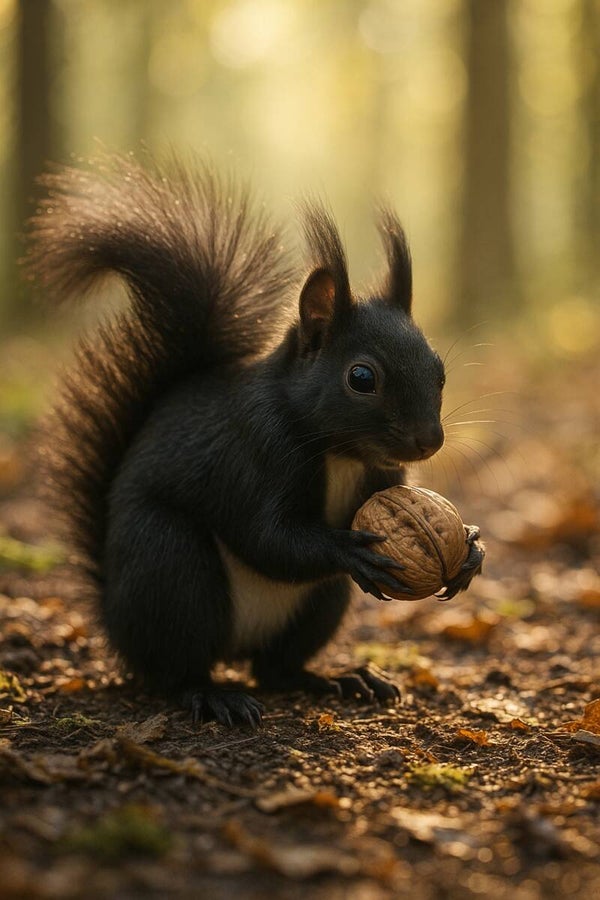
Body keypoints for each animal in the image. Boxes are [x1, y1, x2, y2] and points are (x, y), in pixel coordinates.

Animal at [27, 152, 484, 728]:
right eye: (361, 378)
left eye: (439, 371)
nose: (429, 441)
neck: (339, 452)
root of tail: (113, 619)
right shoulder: (255, 452)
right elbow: (267, 537)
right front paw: (347, 547)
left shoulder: (383, 476)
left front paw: (470, 548)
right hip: (170, 566)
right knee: (175, 669)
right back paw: (211, 694)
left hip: (321, 604)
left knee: (276, 669)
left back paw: (338, 679)